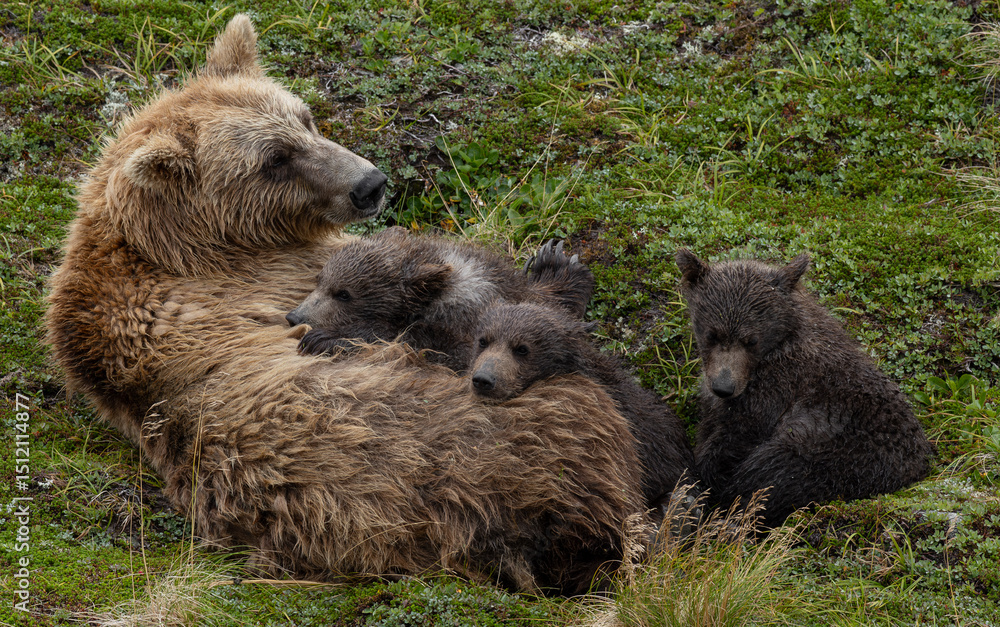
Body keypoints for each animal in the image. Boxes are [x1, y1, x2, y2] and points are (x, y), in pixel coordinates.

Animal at [675, 249, 934, 527]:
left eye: (751, 340)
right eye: (712, 334)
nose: (723, 387)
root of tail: (917, 468)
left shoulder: (777, 388)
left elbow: (736, 437)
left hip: (841, 448)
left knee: (776, 470)